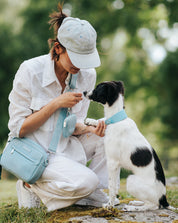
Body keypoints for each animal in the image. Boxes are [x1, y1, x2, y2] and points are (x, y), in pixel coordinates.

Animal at [84, 81, 172, 211]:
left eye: (97, 89)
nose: (84, 92)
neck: (117, 120)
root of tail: (164, 199)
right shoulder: (116, 164)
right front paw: (91, 121)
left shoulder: (112, 162)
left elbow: (111, 186)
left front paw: (109, 205)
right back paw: (137, 203)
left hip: (131, 181)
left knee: (153, 205)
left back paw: (132, 208)